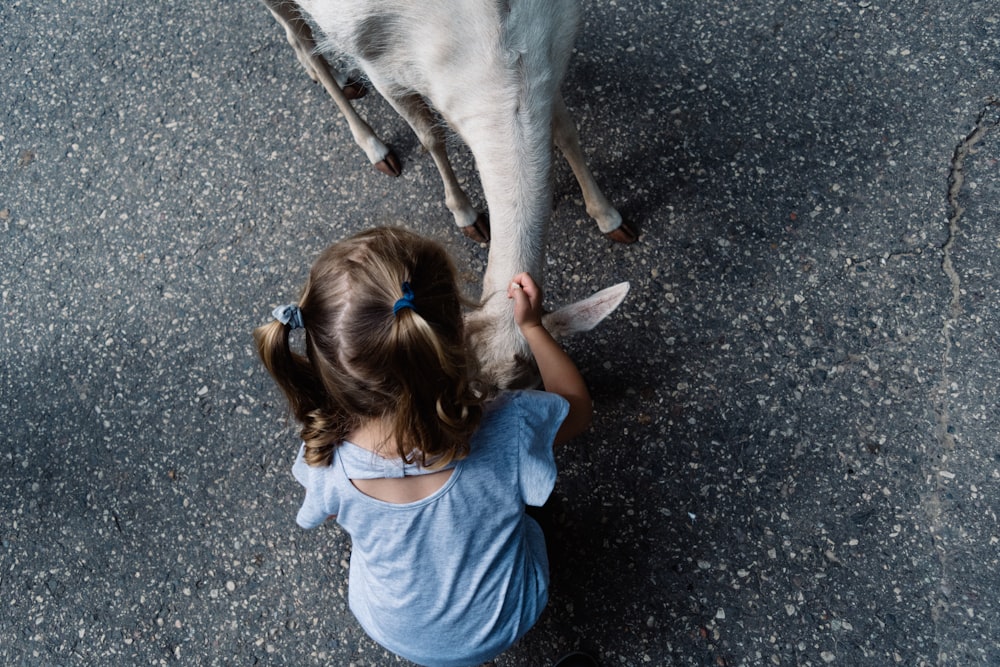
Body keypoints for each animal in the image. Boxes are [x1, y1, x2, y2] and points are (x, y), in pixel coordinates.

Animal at [258, 0, 632, 386]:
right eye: (473, 387)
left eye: (539, 381)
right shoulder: (381, 68)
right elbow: (430, 137)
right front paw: (466, 215)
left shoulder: (548, 60)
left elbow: (566, 132)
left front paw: (610, 218)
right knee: (300, 37)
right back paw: (374, 145)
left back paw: (344, 83)